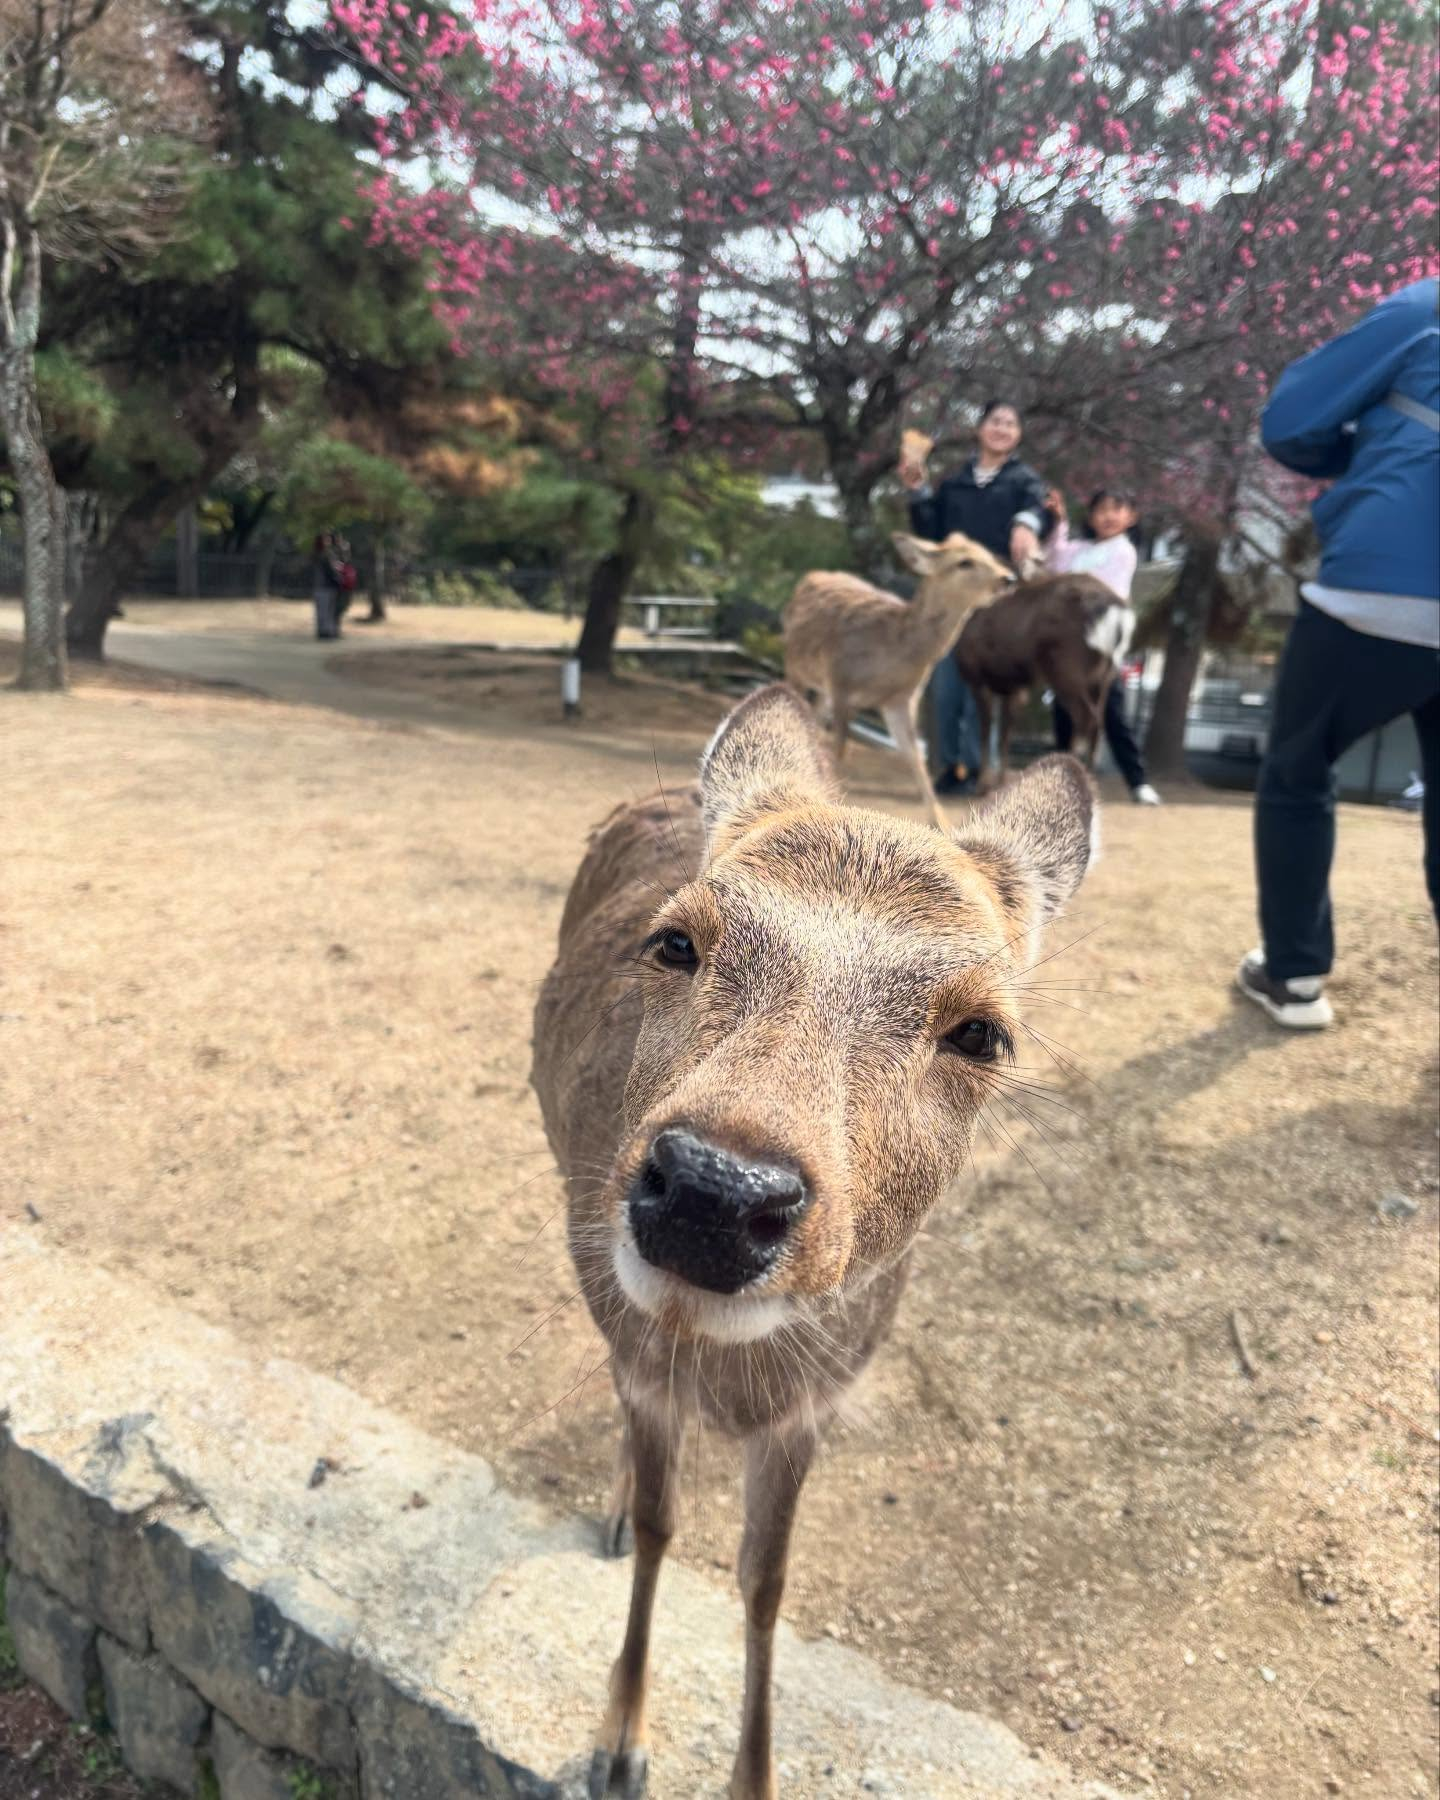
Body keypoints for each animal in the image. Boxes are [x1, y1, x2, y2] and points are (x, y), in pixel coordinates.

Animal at [532, 680, 1094, 1792]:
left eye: (983, 1032)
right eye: (674, 941)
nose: (713, 1191)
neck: (731, 1378)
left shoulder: (818, 1400)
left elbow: (767, 1583)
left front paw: (754, 1774)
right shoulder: (647, 1354)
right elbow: (664, 1522)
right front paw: (619, 1744)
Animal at [957, 568, 1137, 781]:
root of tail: (1118, 615)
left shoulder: (977, 679)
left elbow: (985, 732)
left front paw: (983, 782)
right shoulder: (1015, 687)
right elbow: (1004, 735)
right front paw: (1001, 779)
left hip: (1064, 668)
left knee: (1086, 719)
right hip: (1103, 677)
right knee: (1097, 723)